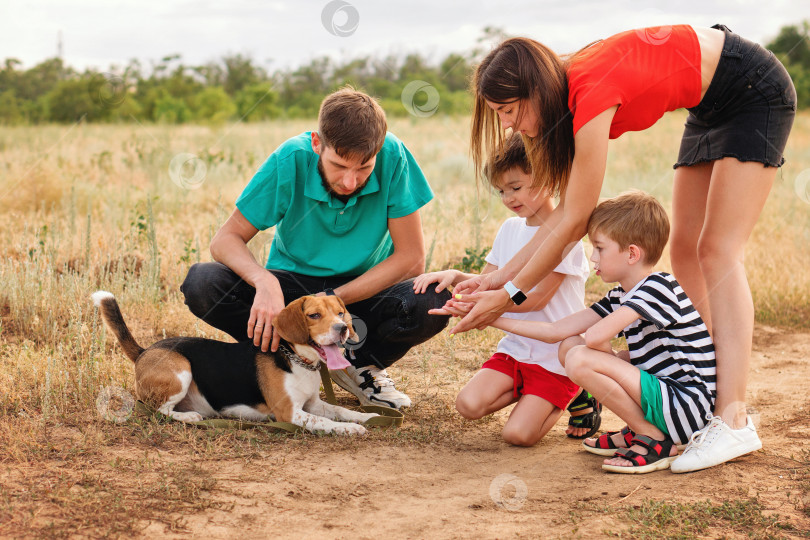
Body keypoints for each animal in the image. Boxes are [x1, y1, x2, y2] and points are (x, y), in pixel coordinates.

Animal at [92, 292, 378, 434]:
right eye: (314, 315)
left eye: (340, 312)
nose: (342, 328)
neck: (296, 360)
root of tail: (144, 351)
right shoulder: (290, 413)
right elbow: (325, 422)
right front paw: (350, 429)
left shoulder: (313, 404)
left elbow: (339, 410)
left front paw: (367, 417)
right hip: (181, 370)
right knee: (158, 410)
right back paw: (190, 416)